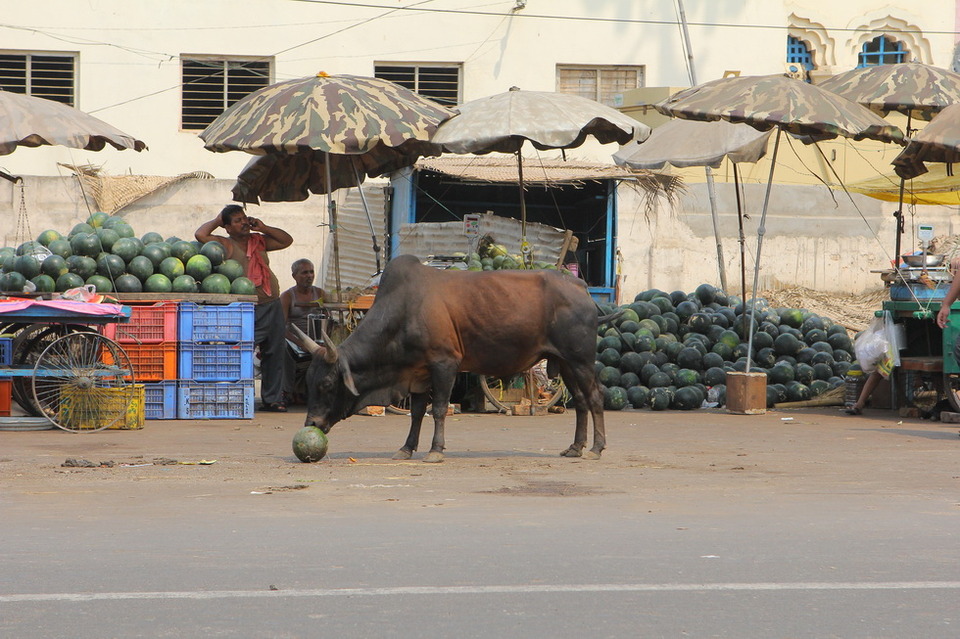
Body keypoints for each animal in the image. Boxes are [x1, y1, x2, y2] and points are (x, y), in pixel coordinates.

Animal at [292, 255, 608, 464]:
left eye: (327, 384)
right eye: (308, 382)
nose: (312, 423)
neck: (403, 311)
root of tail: (579, 286)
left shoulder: (445, 364)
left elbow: (440, 409)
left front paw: (435, 450)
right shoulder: (417, 373)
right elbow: (417, 413)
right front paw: (406, 448)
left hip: (580, 360)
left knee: (594, 398)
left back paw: (596, 448)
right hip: (564, 362)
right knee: (580, 401)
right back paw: (575, 447)